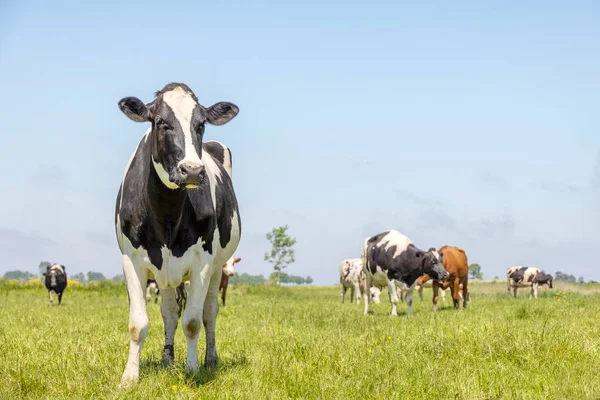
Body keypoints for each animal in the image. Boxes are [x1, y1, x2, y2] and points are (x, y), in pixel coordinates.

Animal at [115, 83, 241, 386]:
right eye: (161, 122)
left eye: (201, 123)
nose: (192, 170)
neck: (166, 214)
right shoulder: (131, 259)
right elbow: (138, 323)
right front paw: (129, 377)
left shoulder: (203, 261)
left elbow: (193, 322)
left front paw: (193, 370)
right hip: (165, 274)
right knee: (170, 313)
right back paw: (167, 357)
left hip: (218, 267)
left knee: (209, 313)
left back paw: (210, 358)